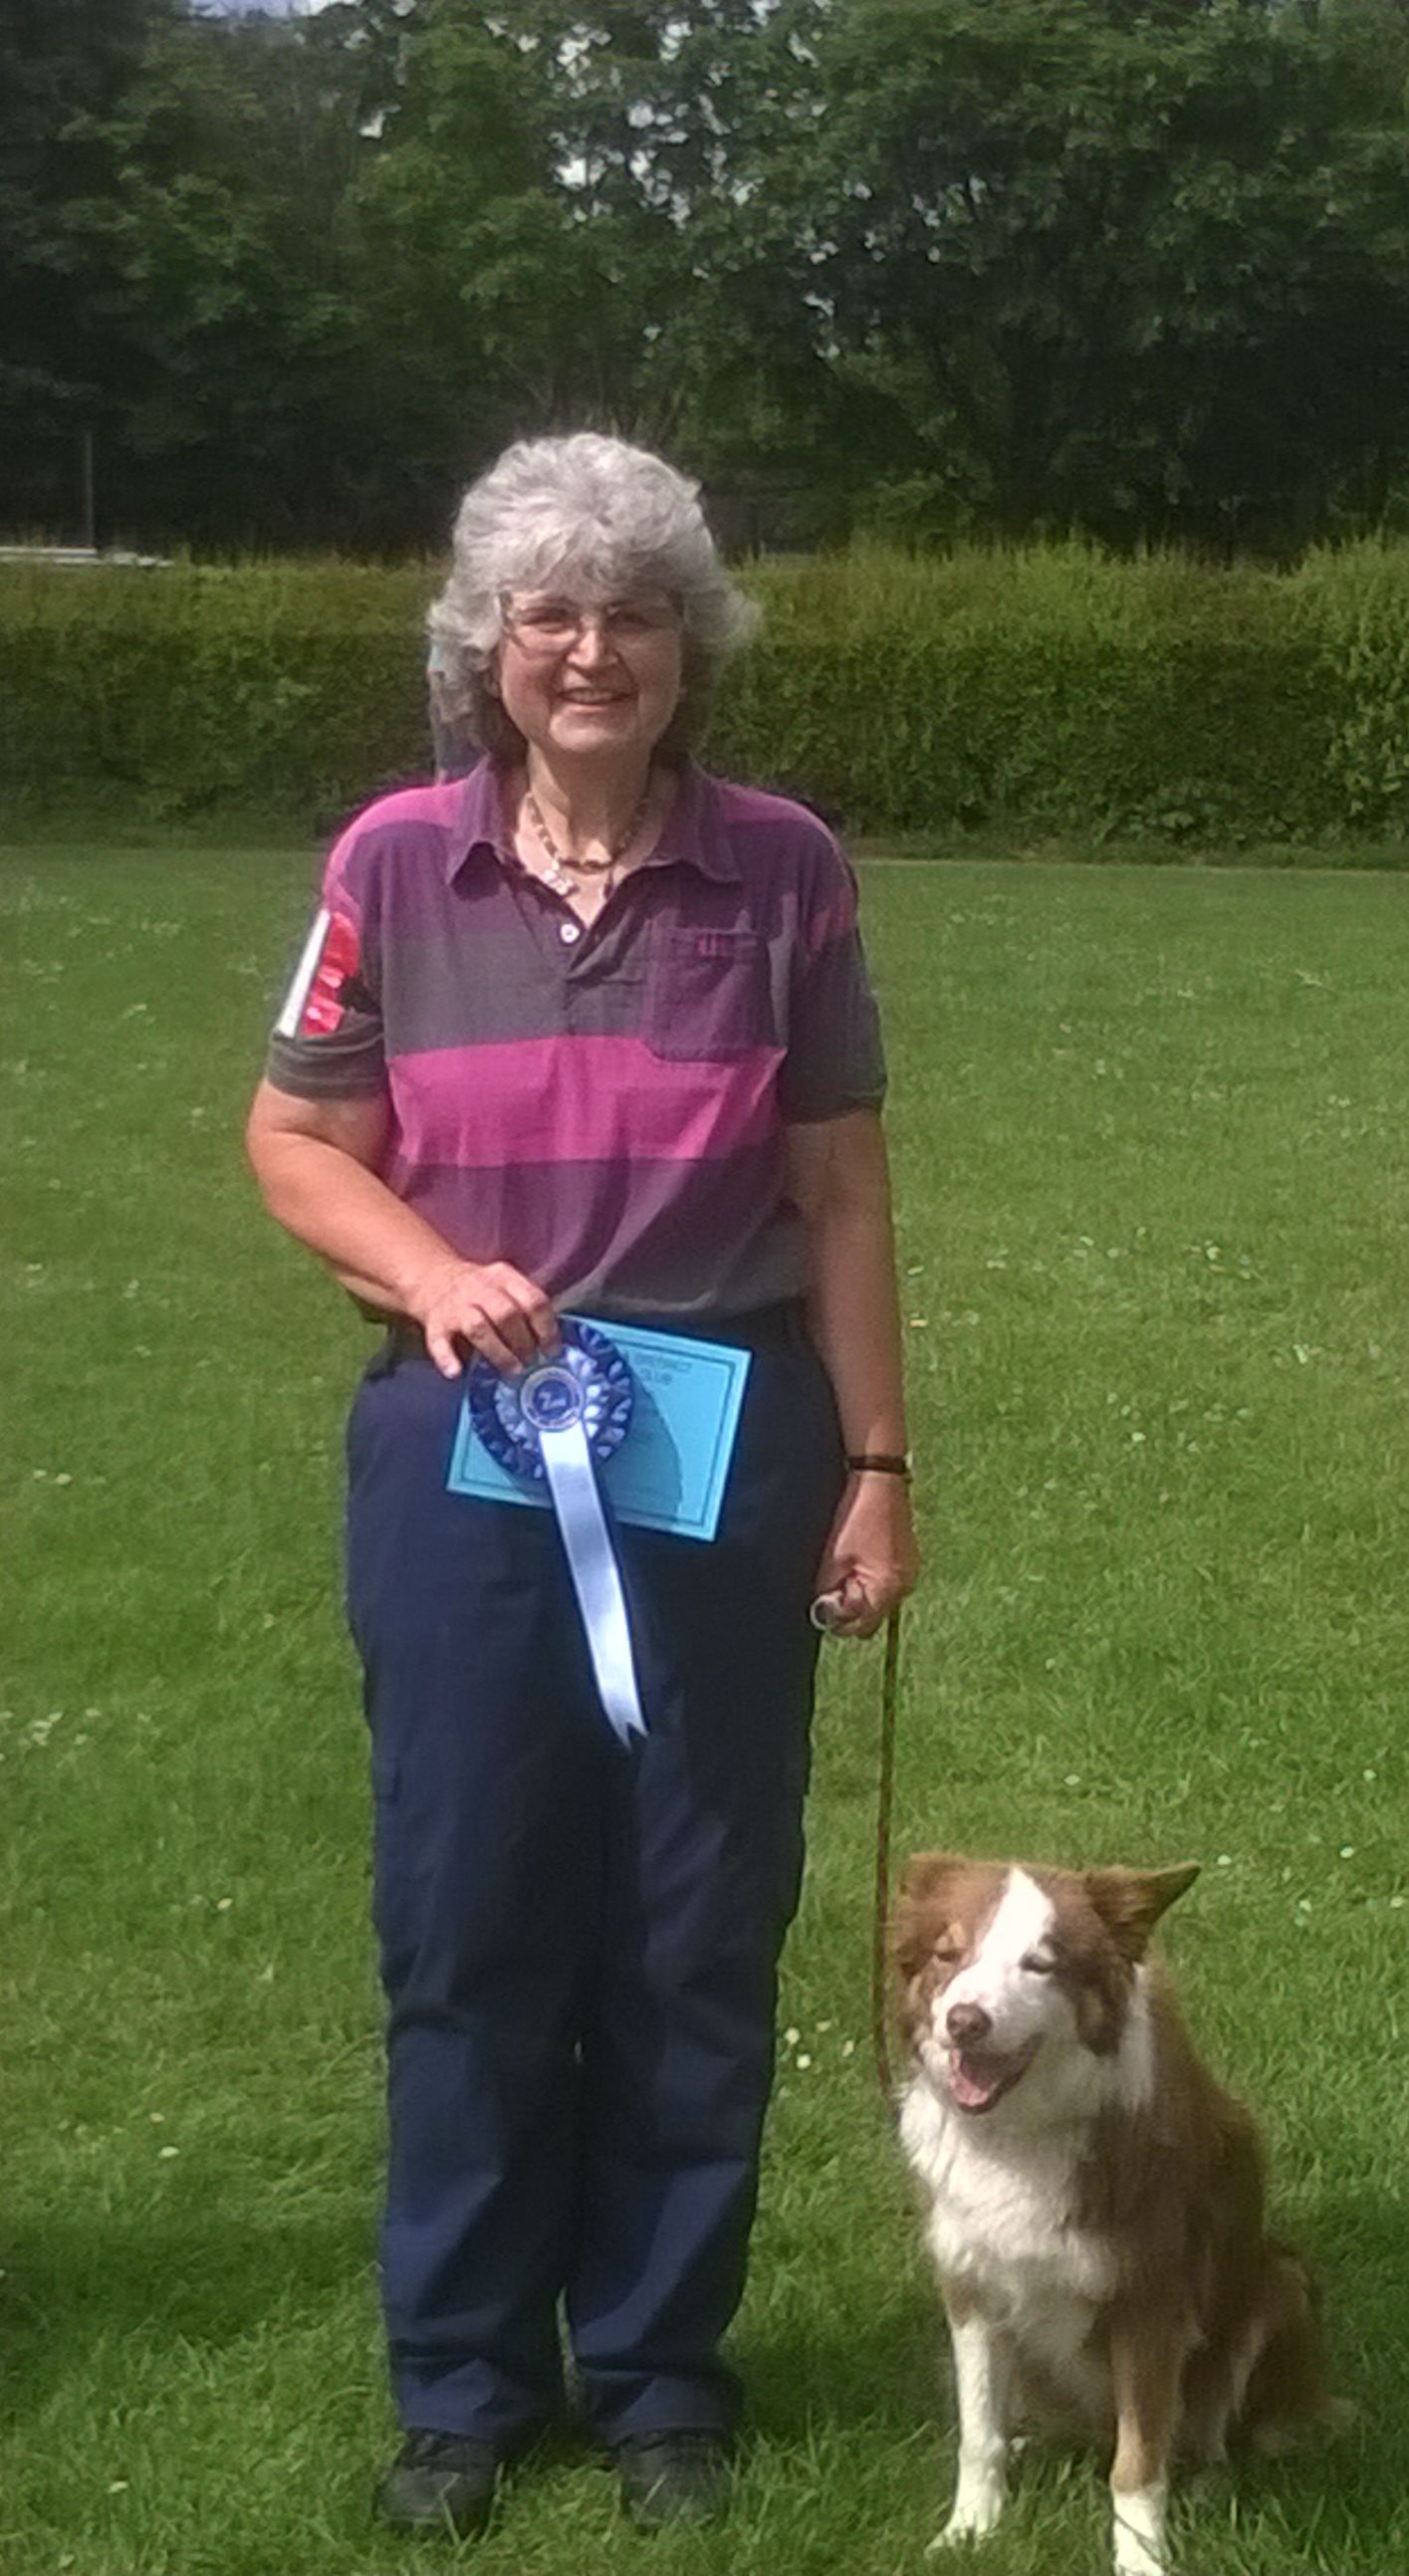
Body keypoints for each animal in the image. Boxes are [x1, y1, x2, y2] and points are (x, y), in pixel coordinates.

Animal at [893, 1855, 1342, 2576]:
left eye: (1040, 1963)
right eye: (948, 1953)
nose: (963, 2021)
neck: (1017, 2136)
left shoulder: (1147, 2302)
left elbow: (1137, 2464)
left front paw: (1141, 2561)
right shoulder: (969, 2287)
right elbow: (978, 2432)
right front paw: (967, 2532)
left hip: (1279, 2285)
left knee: (1214, 2437)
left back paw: (1208, 2483)